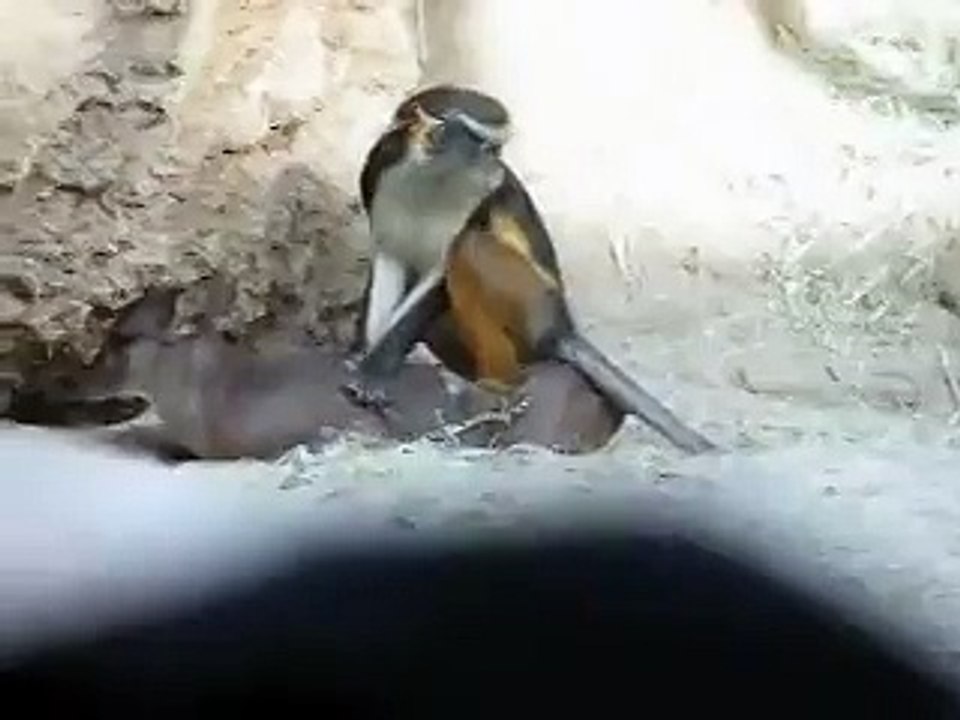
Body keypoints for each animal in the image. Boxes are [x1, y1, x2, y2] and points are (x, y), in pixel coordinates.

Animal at [351, 85, 717, 455]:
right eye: (483, 145)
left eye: (497, 147)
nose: (497, 167)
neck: (434, 176)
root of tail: (562, 326)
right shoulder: (381, 168)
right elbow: (389, 259)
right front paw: (364, 357)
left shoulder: (478, 201)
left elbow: (442, 270)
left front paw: (377, 369)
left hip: (534, 307)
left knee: (472, 247)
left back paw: (498, 385)